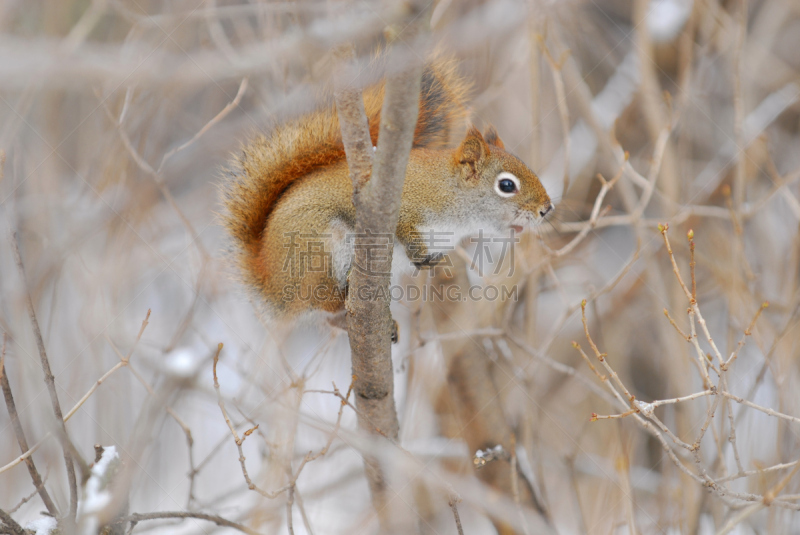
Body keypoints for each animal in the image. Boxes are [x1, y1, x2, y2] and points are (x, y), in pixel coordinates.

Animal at [222, 59, 552, 326]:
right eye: (506, 185)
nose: (547, 209)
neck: (452, 196)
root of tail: (268, 280)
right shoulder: (407, 203)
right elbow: (403, 229)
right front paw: (421, 255)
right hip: (314, 249)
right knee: (322, 298)